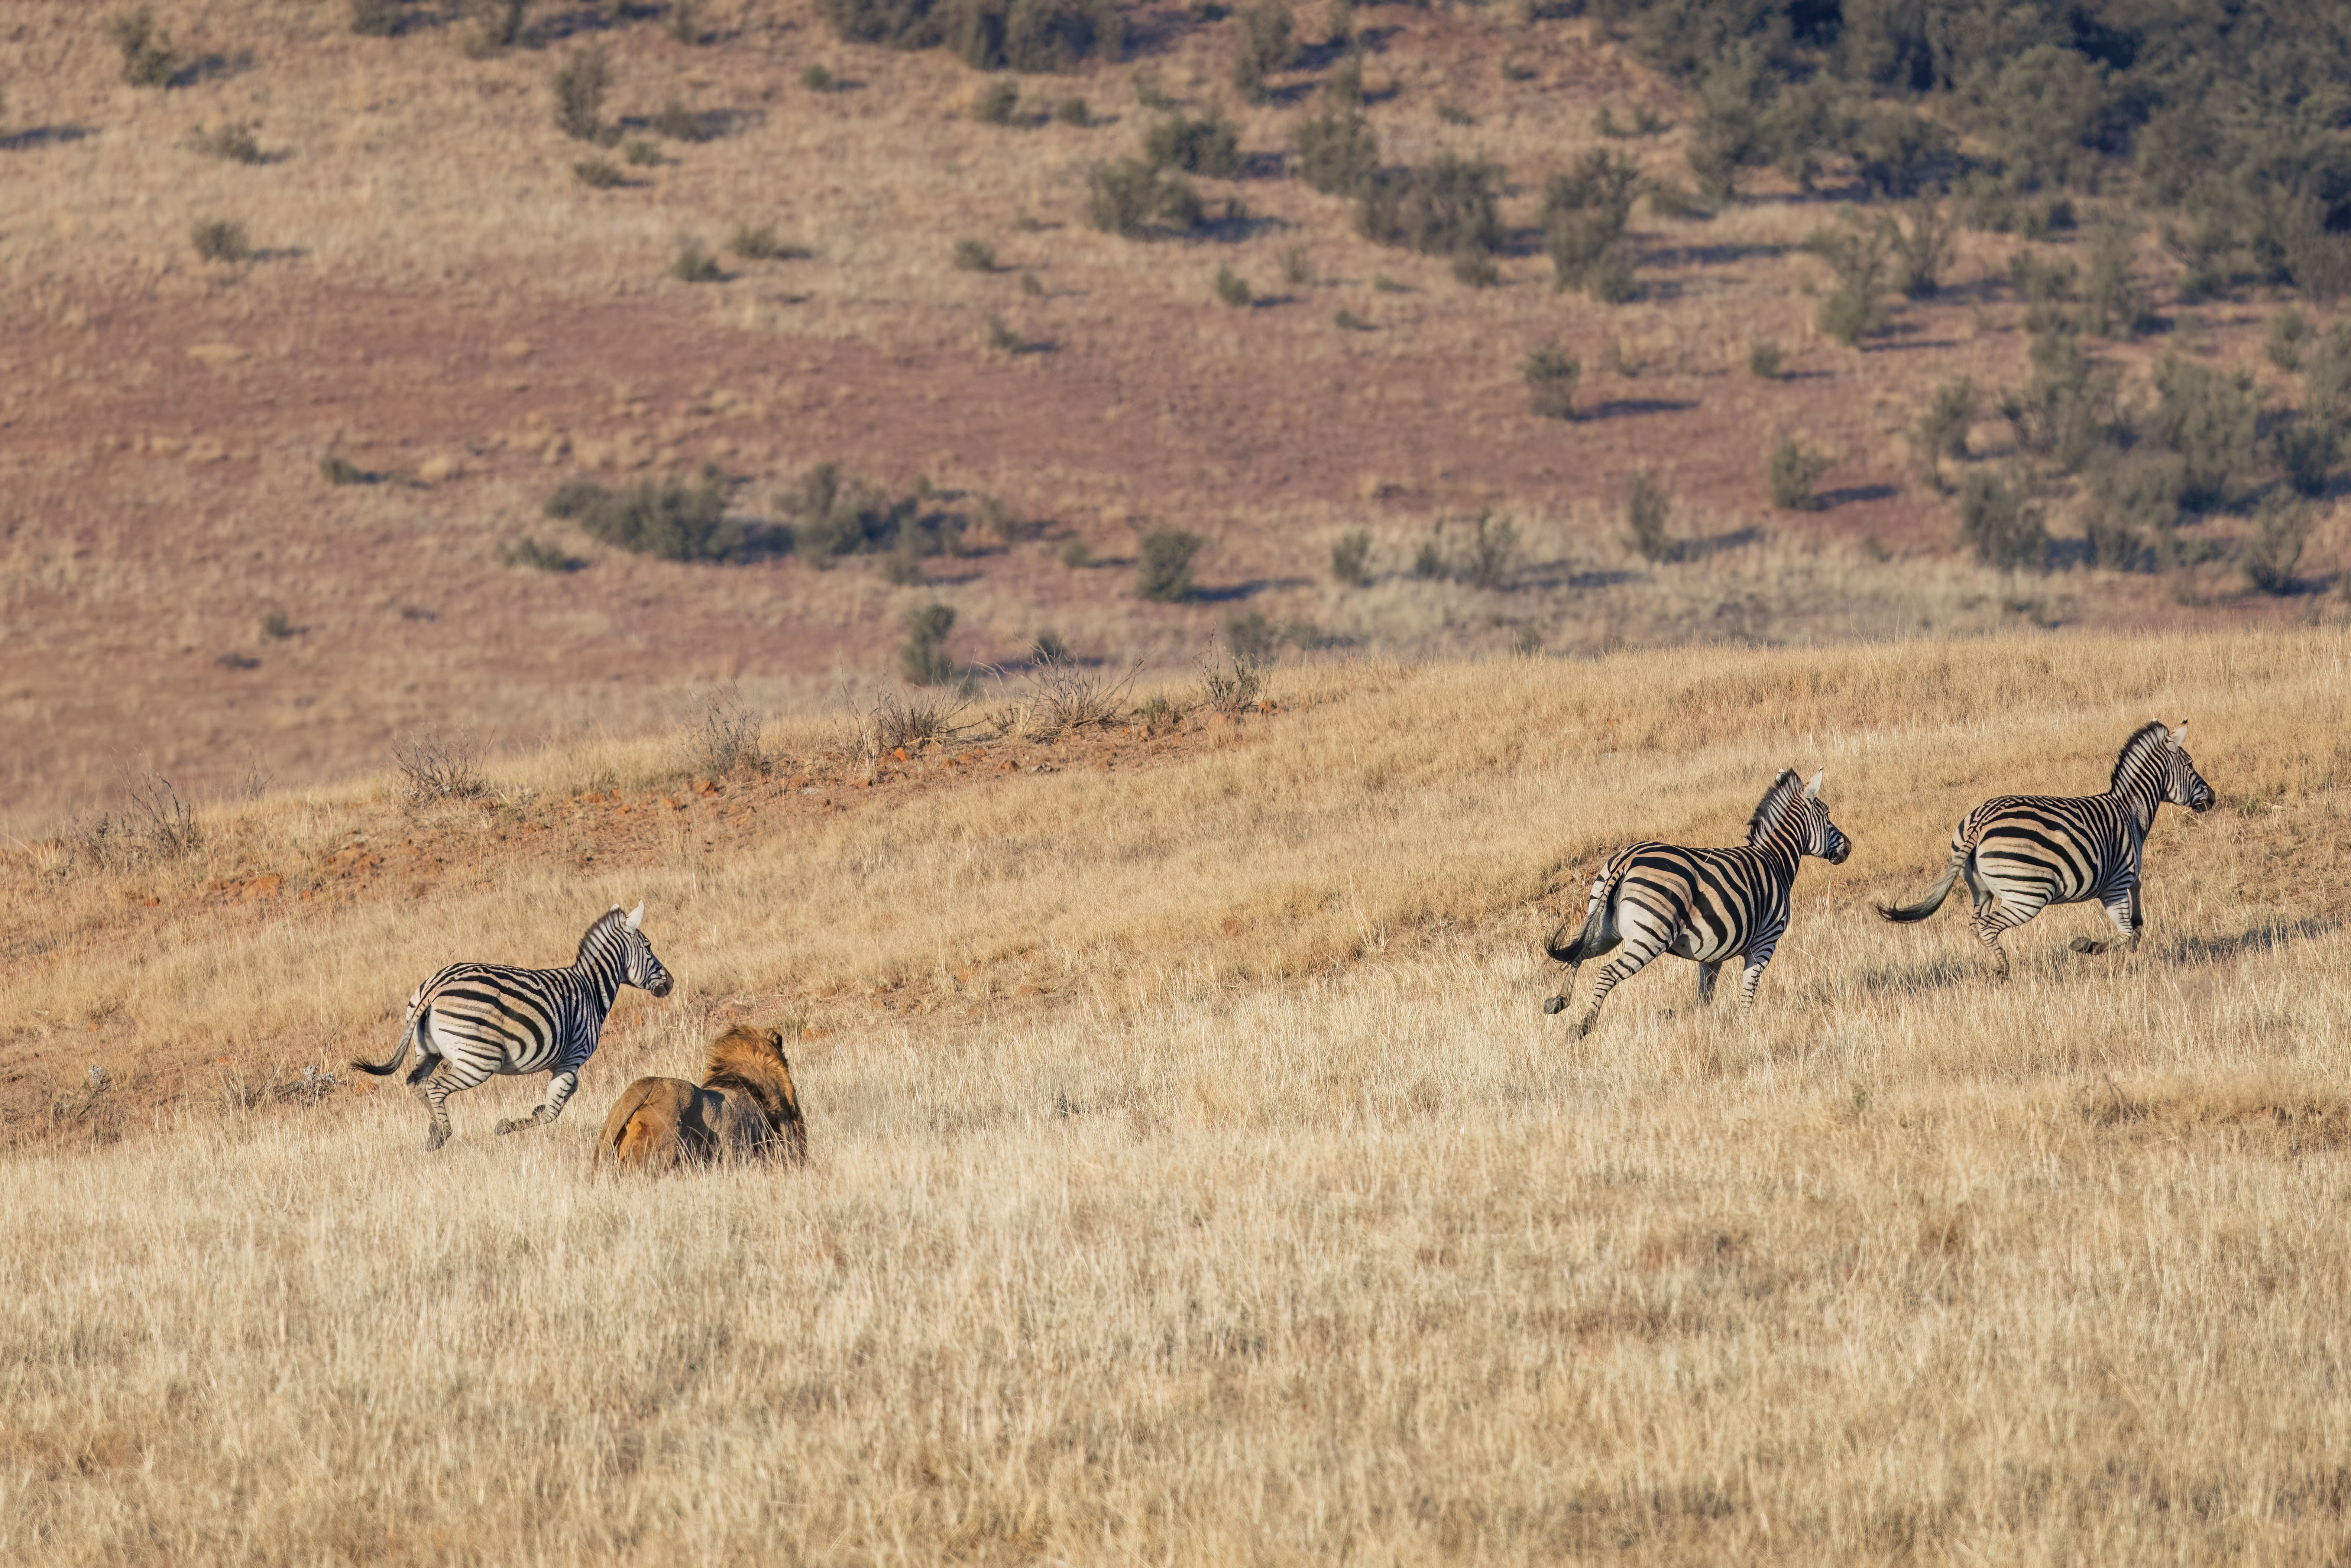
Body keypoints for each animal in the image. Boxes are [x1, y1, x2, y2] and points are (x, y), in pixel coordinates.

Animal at [353, 903, 677, 1147]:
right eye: (649, 947)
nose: (671, 983)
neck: (591, 989)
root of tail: (437, 985)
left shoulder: (563, 1063)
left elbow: (564, 1097)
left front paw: (533, 1111)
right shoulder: (573, 1057)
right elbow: (555, 1109)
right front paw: (507, 1126)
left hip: (428, 1050)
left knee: (416, 1082)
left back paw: (433, 1129)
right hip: (480, 1060)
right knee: (435, 1086)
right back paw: (443, 1134)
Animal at [1542, 771, 1852, 1034]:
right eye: (1827, 814)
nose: (1848, 847)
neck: (1774, 860)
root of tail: (1626, 859)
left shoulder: (1712, 953)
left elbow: (1705, 996)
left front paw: (1700, 1026)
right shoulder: (1765, 942)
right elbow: (1748, 990)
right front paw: (1746, 1029)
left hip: (1605, 928)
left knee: (1578, 956)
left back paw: (1558, 1002)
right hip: (1651, 936)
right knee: (1607, 973)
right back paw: (1583, 1026)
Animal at [1871, 719, 2201, 982]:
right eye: (2189, 765)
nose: (2209, 799)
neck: (2130, 810)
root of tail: (1980, 822)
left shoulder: (2126, 878)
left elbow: (2136, 906)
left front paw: (2135, 933)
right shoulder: (2116, 882)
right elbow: (2123, 932)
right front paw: (2088, 946)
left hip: (1981, 888)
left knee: (1975, 925)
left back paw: (1994, 966)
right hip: (2028, 894)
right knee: (1987, 927)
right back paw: (2002, 972)